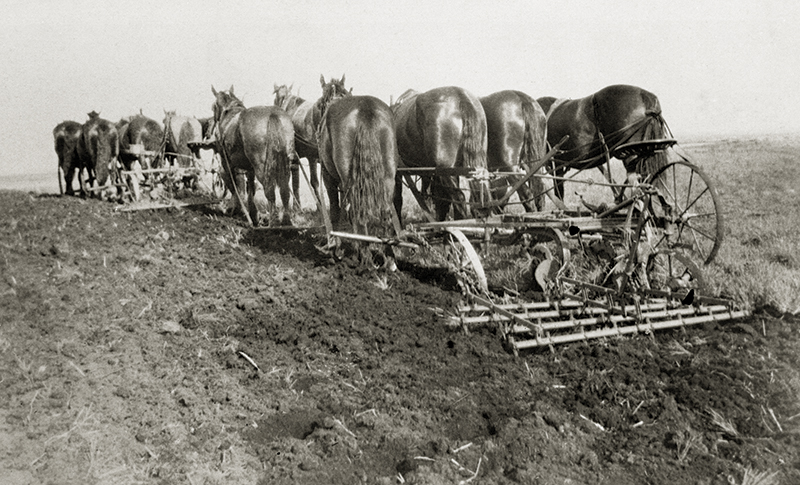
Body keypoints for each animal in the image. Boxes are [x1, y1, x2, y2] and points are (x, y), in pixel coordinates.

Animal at [211, 85, 296, 226]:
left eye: (213, 107)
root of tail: (272, 114)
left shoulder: (226, 163)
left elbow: (235, 185)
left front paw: (233, 208)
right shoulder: (250, 168)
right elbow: (250, 186)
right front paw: (253, 215)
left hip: (260, 166)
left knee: (269, 190)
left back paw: (273, 222)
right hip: (285, 161)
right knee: (284, 190)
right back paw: (286, 220)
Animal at [318, 95, 399, 266]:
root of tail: (365, 108)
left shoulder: (328, 178)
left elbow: (335, 211)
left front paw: (336, 250)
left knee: (358, 214)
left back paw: (365, 259)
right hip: (388, 176)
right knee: (385, 212)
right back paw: (390, 261)